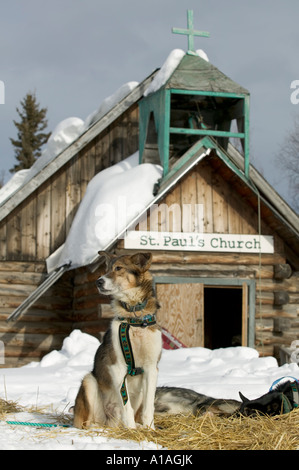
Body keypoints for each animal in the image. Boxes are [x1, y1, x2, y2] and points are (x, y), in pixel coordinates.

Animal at [72, 253, 162, 430]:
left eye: (118, 268)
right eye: (106, 269)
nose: (98, 281)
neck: (134, 318)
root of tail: (111, 420)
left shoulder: (151, 367)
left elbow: (148, 407)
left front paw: (150, 430)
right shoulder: (118, 367)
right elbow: (127, 406)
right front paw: (132, 430)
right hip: (89, 382)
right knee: (88, 422)